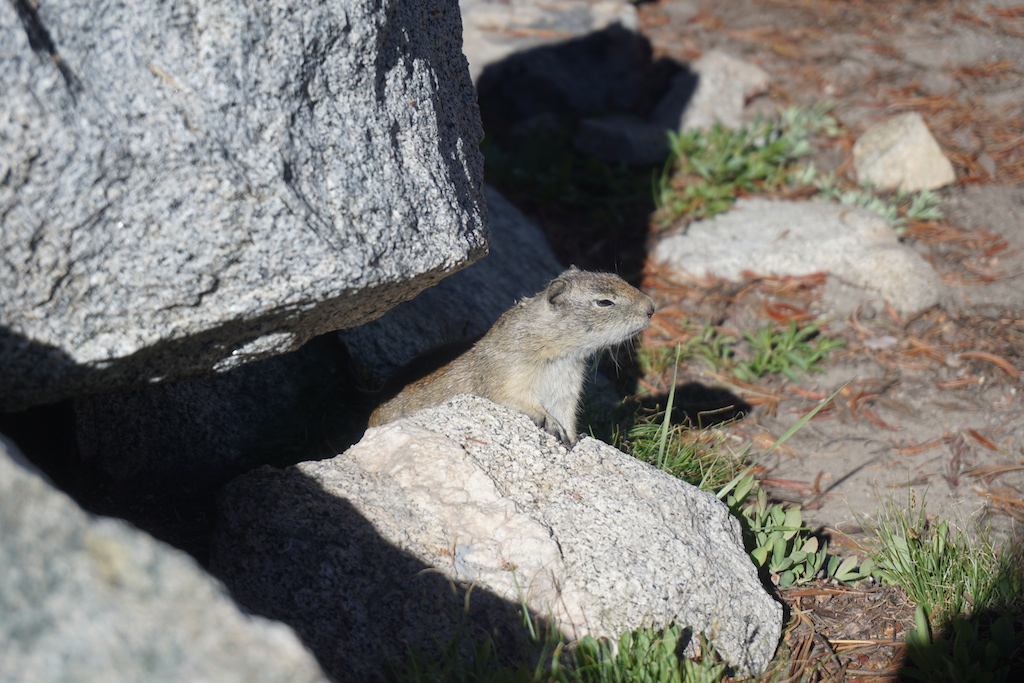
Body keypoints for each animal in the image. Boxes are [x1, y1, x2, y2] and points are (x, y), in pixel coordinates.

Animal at [368, 266, 655, 448]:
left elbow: (567, 417)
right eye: (604, 302)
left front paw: (574, 438)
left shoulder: (566, 393)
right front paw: (551, 425)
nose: (651, 307)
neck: (558, 354)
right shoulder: (509, 376)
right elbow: (517, 400)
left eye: (615, 275)